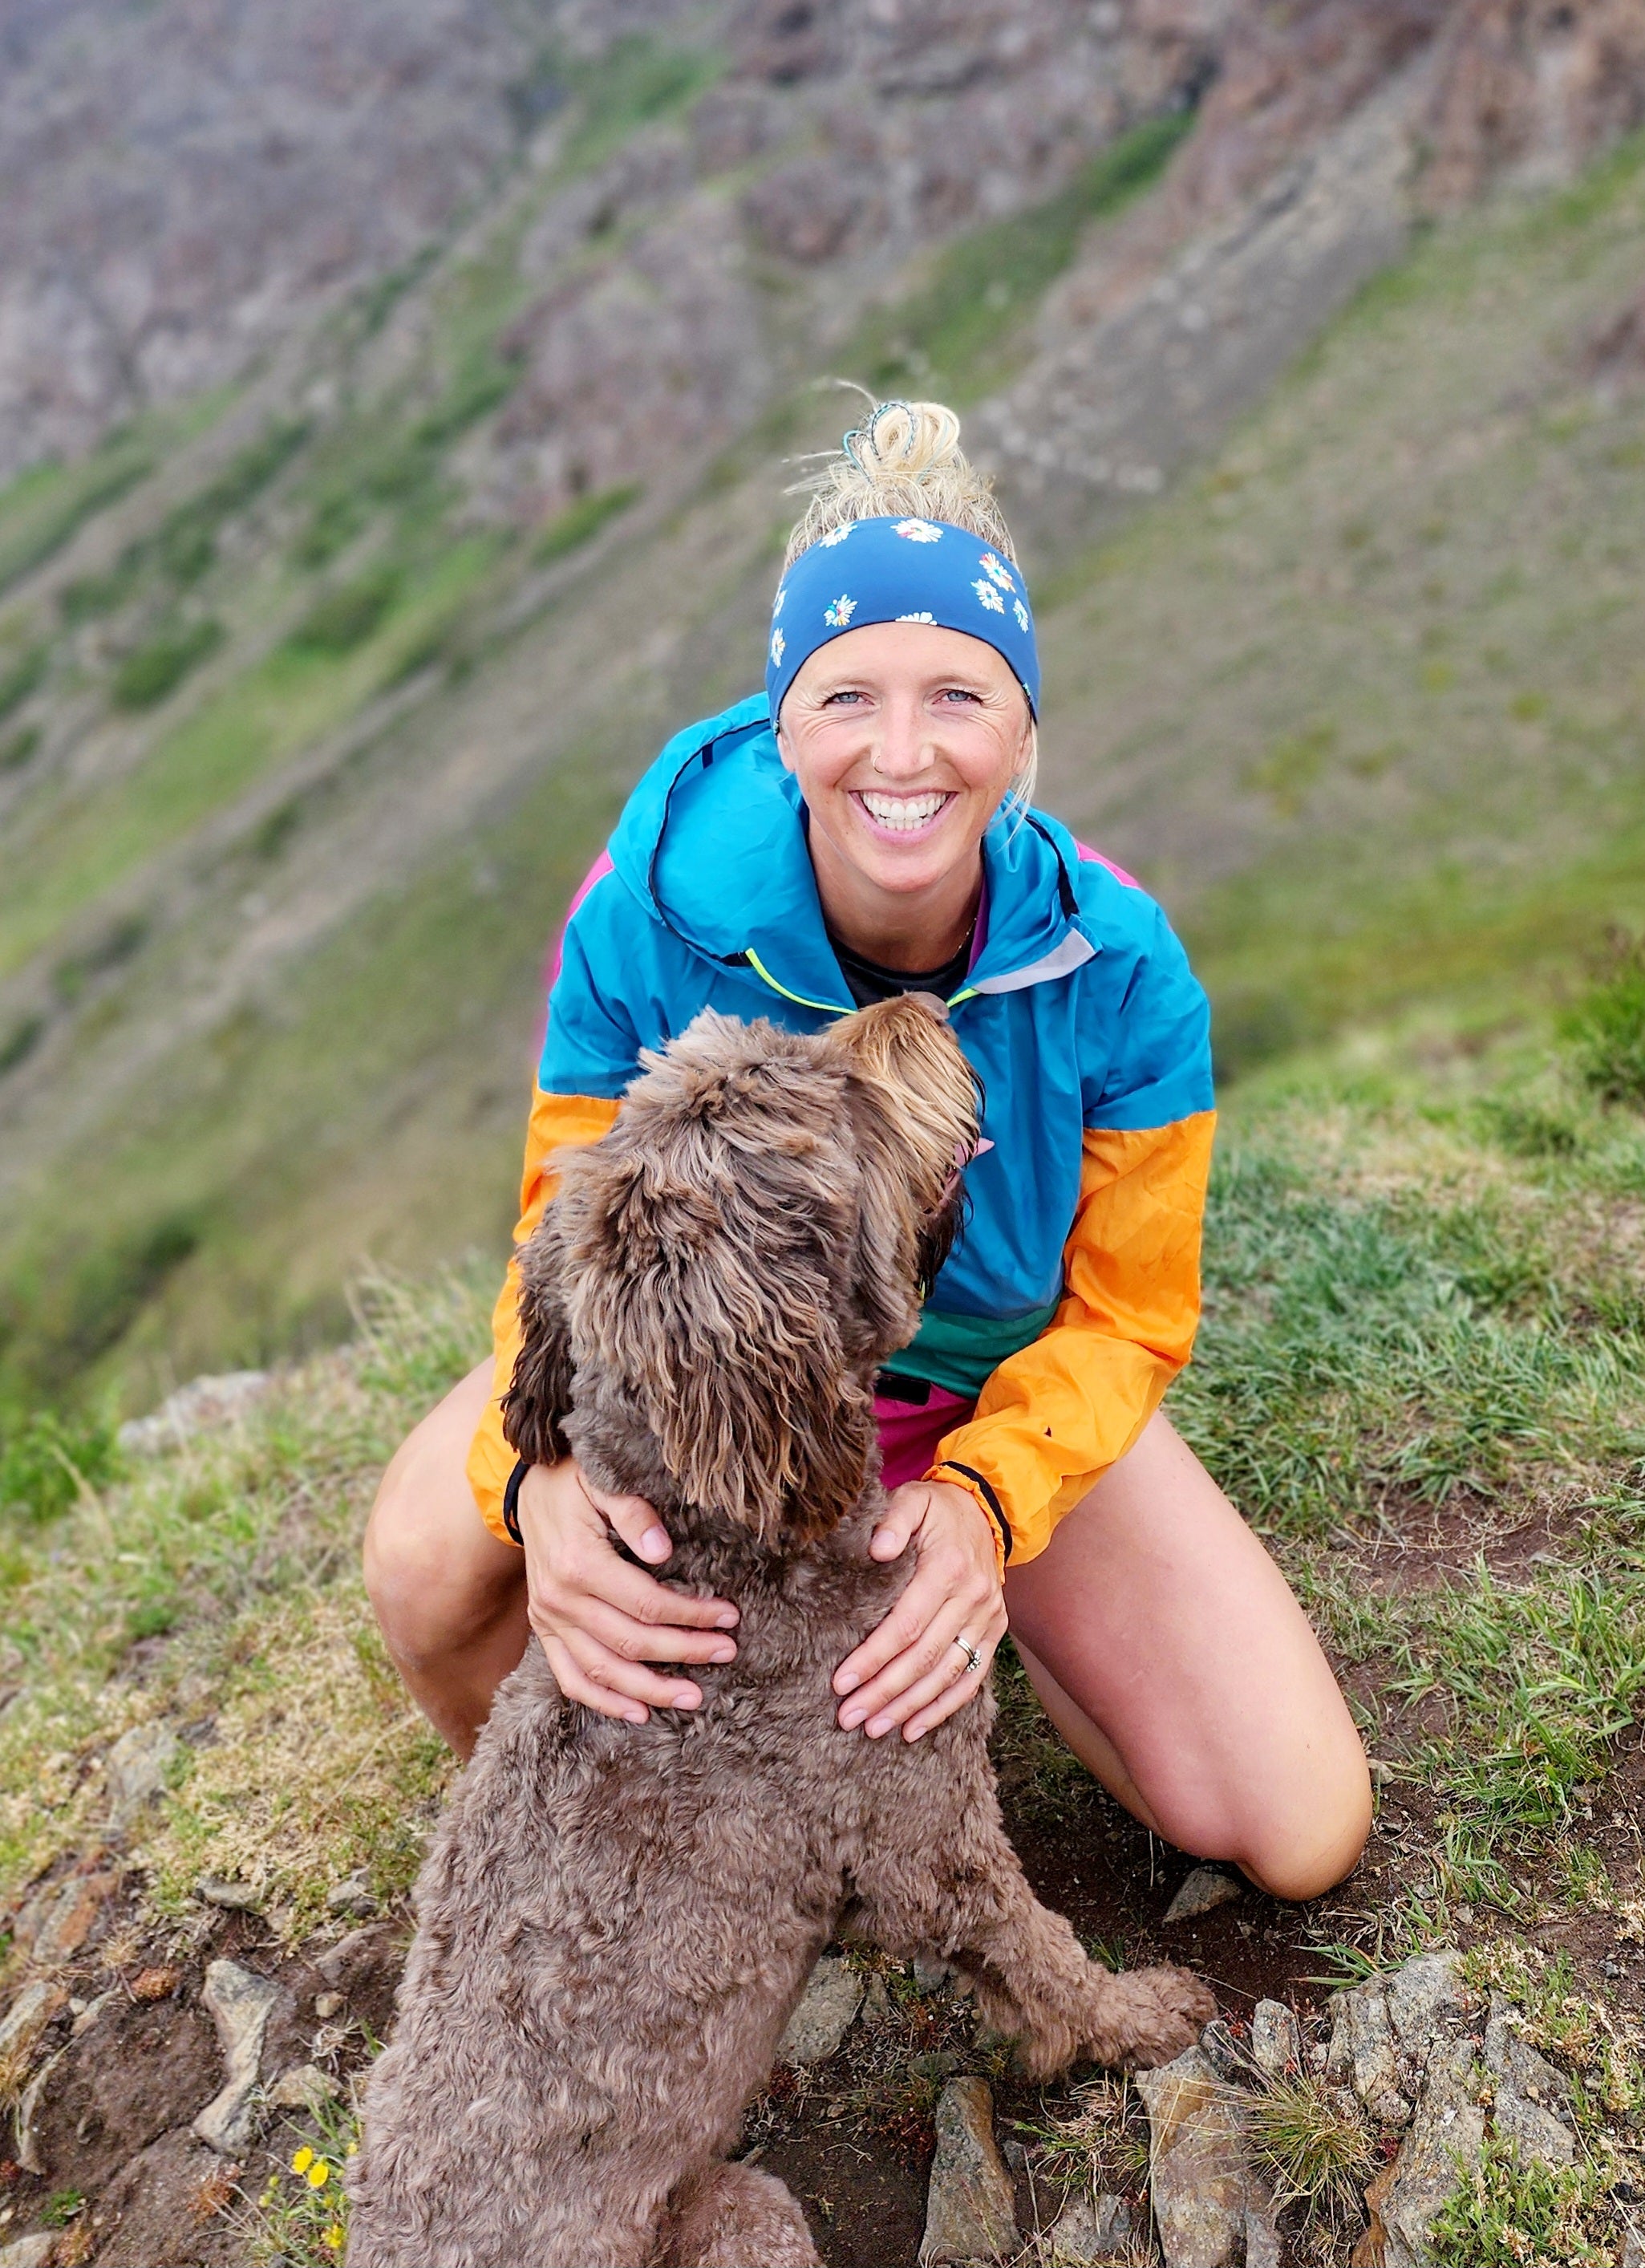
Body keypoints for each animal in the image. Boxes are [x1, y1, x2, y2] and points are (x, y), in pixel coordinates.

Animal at [349, 997, 1214, 2268]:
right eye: (826, 1090)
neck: (725, 1544)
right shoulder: (926, 1836)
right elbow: (1041, 1959)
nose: (921, 1006)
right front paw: (1142, 2014)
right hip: (741, 2214)